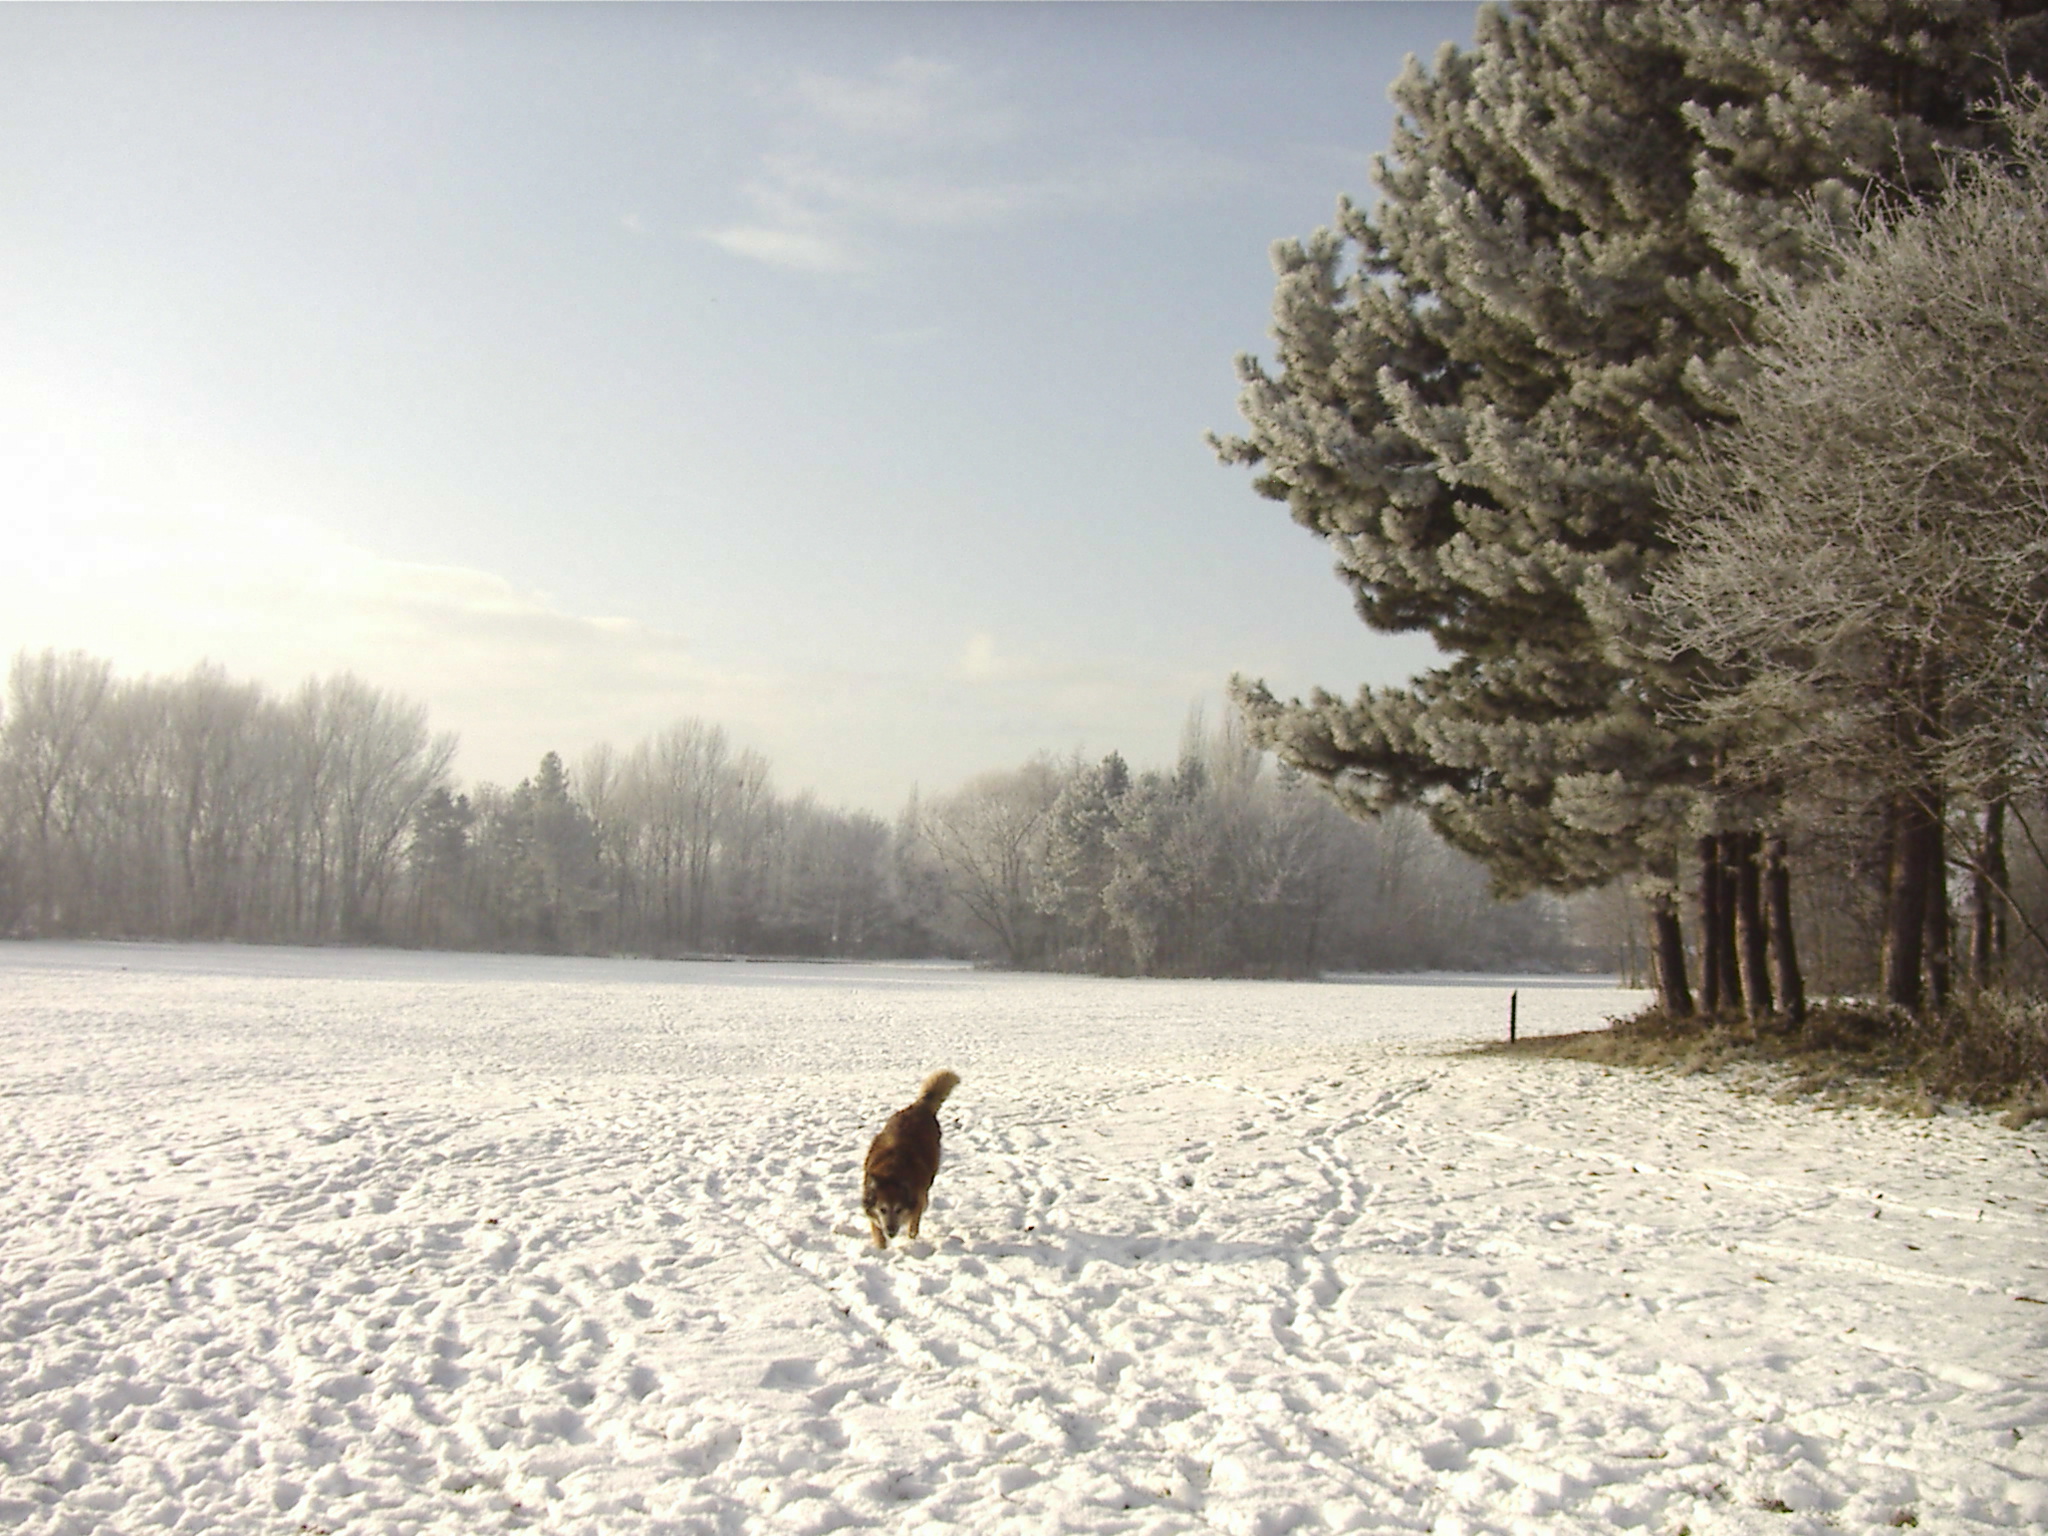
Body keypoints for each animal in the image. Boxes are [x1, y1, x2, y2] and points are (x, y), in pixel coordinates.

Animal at [864, 1073, 958, 1253]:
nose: (891, 1232)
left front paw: (911, 1241)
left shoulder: (917, 1199)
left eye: (898, 1209)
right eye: (882, 1209)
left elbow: (914, 1223)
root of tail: (919, 1106)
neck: (891, 1172)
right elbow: (875, 1228)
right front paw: (881, 1247)